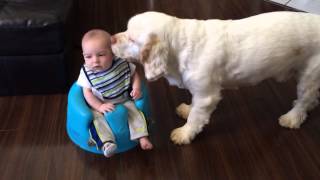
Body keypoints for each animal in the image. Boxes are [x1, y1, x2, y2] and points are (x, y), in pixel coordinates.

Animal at [111, 11, 320, 145]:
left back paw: (292, 118)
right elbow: (193, 107)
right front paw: (187, 109)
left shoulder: (206, 95)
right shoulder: (198, 92)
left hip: (309, 75)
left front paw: (184, 133)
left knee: (305, 100)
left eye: (132, 39)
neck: (182, 45)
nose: (111, 39)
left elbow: (196, 117)